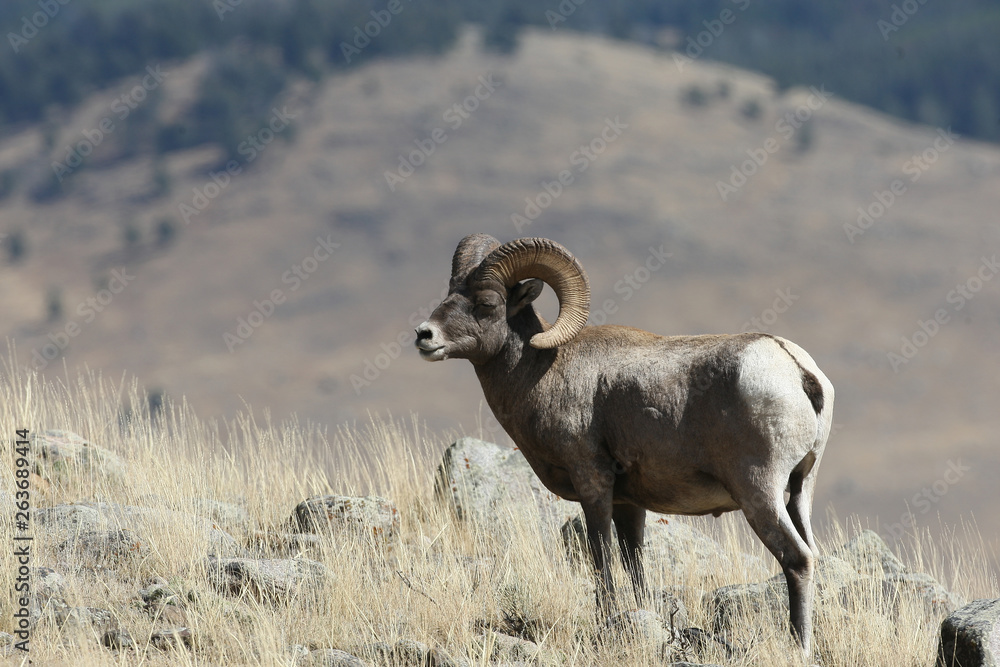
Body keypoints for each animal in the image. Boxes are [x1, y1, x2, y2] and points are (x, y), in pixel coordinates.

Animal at [414, 234, 834, 656]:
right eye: (450, 293)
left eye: (487, 303)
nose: (424, 335)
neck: (542, 371)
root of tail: (797, 369)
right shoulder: (630, 503)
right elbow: (636, 567)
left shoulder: (593, 483)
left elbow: (602, 558)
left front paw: (605, 619)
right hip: (801, 490)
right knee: (810, 552)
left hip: (758, 491)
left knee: (797, 559)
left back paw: (799, 645)